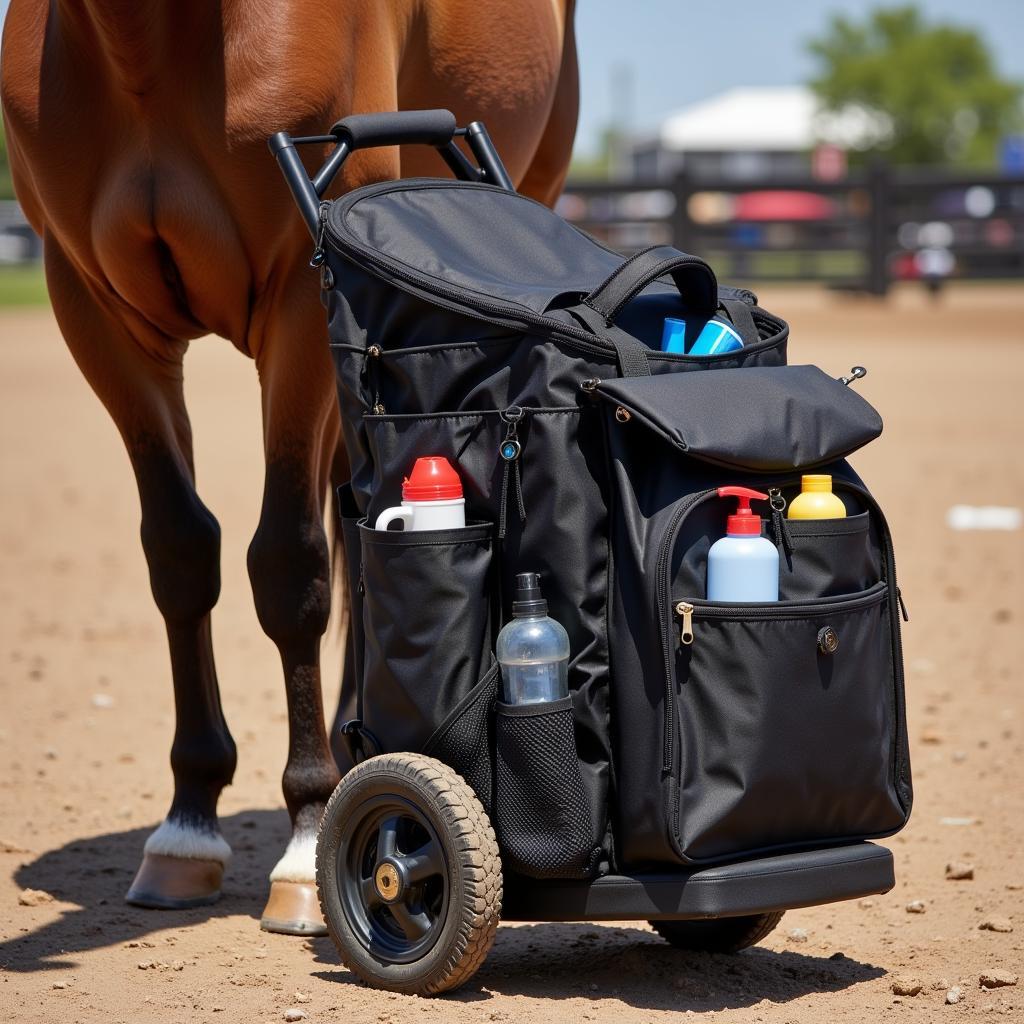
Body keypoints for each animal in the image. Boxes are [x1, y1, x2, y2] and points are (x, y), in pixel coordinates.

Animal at [0, 0, 577, 933]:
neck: (146, 40)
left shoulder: (300, 297)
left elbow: (289, 564)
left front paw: (308, 842)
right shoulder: (90, 303)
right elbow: (180, 552)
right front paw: (187, 827)